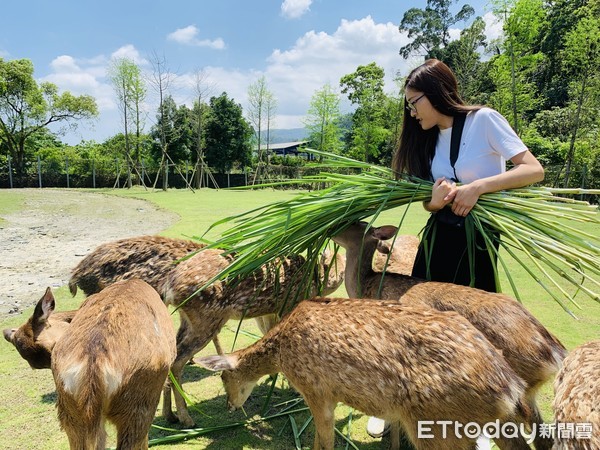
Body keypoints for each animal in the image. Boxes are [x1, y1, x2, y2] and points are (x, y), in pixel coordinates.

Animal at [162, 248, 344, 428]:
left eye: (342, 270)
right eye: (335, 266)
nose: (334, 279)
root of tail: (169, 288)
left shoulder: (270, 311)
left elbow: (268, 332)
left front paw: (273, 377)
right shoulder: (289, 304)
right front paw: (292, 388)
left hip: (187, 319)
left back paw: (170, 415)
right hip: (206, 318)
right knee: (178, 360)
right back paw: (187, 419)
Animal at [197, 296, 528, 450]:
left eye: (225, 378)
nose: (230, 406)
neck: (282, 352)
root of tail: (510, 387)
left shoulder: (316, 390)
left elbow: (325, 440)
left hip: (435, 425)